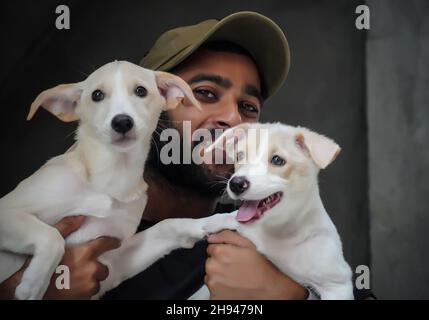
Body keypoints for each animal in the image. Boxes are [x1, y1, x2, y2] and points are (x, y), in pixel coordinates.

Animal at [190, 122, 352, 300]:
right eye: (239, 156)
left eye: (277, 160)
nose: (236, 184)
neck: (278, 232)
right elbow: (213, 219)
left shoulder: (337, 284)